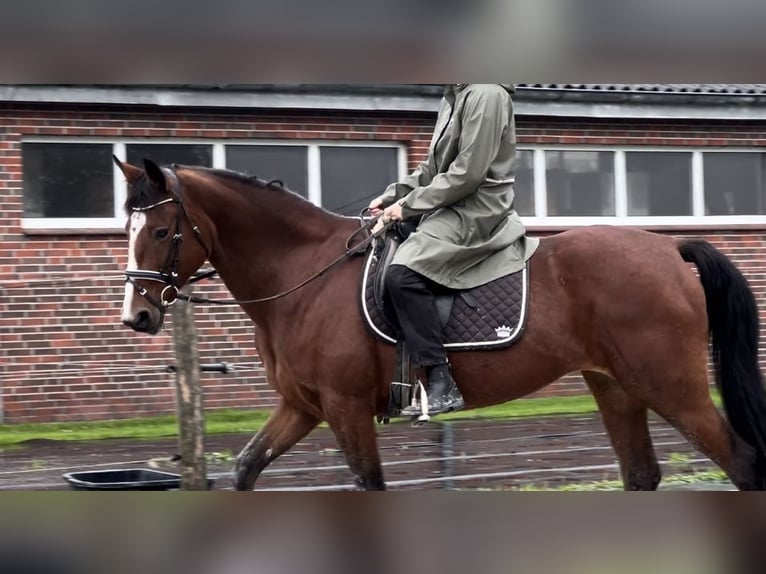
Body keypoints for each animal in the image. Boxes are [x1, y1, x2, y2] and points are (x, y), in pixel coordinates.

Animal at [117, 158, 766, 490]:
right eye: (127, 225)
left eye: (162, 230)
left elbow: (368, 484)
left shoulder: (345, 408)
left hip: (672, 387)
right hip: (617, 387)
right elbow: (247, 467)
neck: (303, 273)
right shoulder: (303, 406)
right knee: (642, 475)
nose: (137, 316)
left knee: (742, 463)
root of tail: (668, 247)